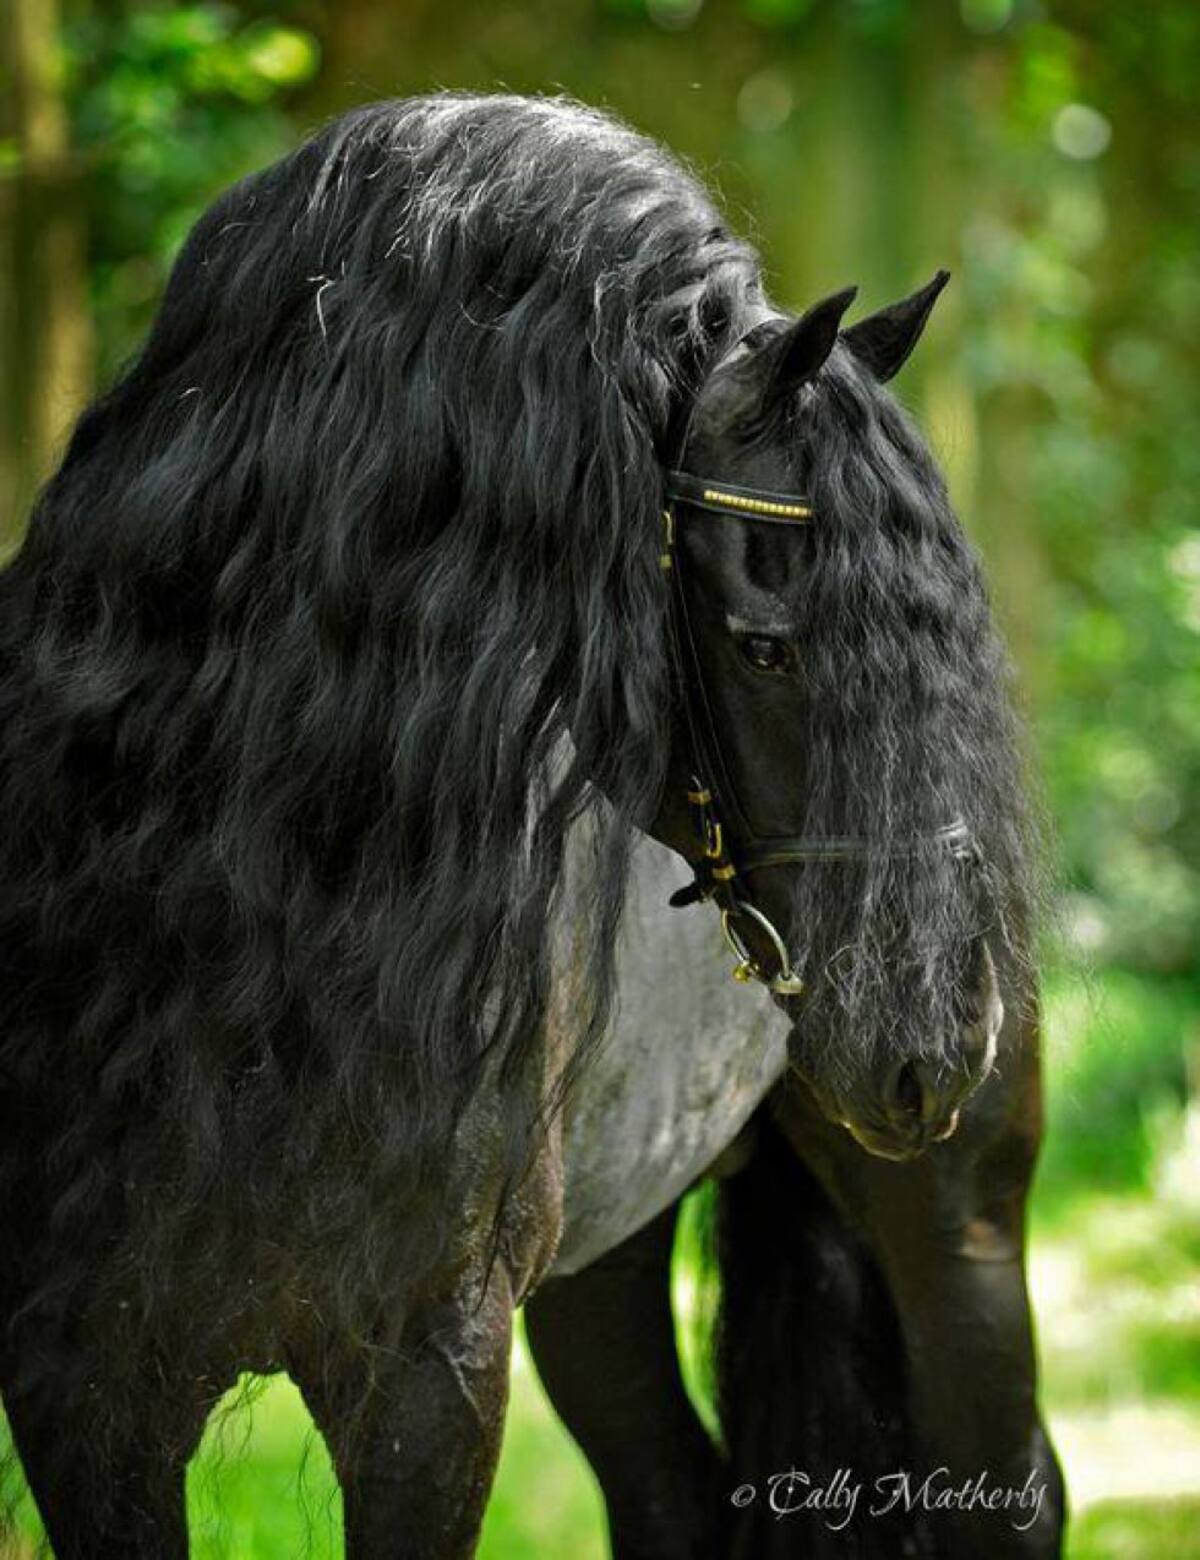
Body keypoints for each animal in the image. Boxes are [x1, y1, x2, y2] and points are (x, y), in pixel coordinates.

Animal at [0, 90, 1058, 1558]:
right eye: (767, 645)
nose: (944, 1033)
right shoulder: (83, 1389)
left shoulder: (429, 1377)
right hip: (605, 1264)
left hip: (960, 1231)